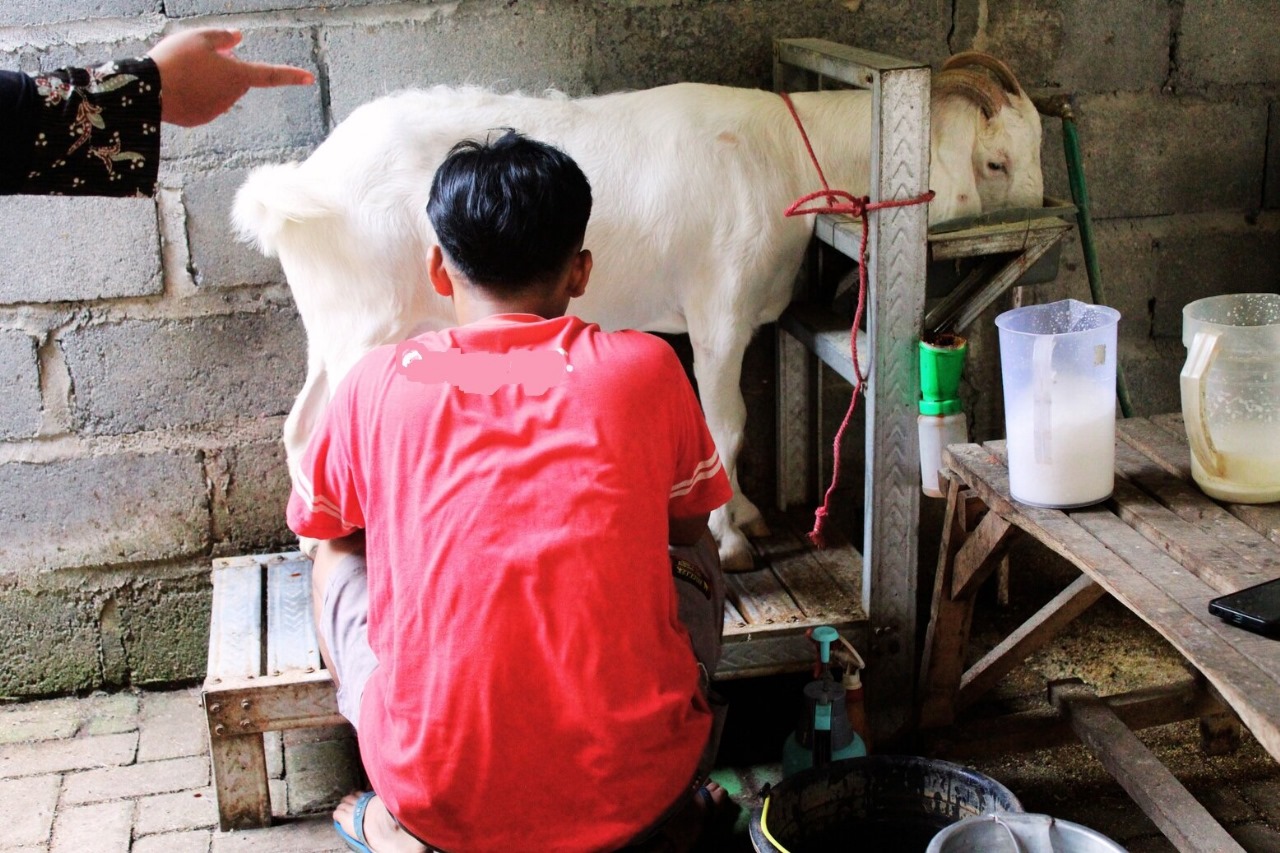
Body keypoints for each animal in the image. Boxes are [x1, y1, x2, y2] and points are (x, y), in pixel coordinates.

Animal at [238, 53, 1039, 571]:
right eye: (994, 162)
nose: (1039, 222)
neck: (781, 155)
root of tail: (303, 185)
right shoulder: (720, 310)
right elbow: (726, 424)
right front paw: (732, 536)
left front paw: (746, 513)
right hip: (363, 325)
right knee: (318, 427)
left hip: (333, 326)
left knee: (299, 422)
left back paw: (312, 537)